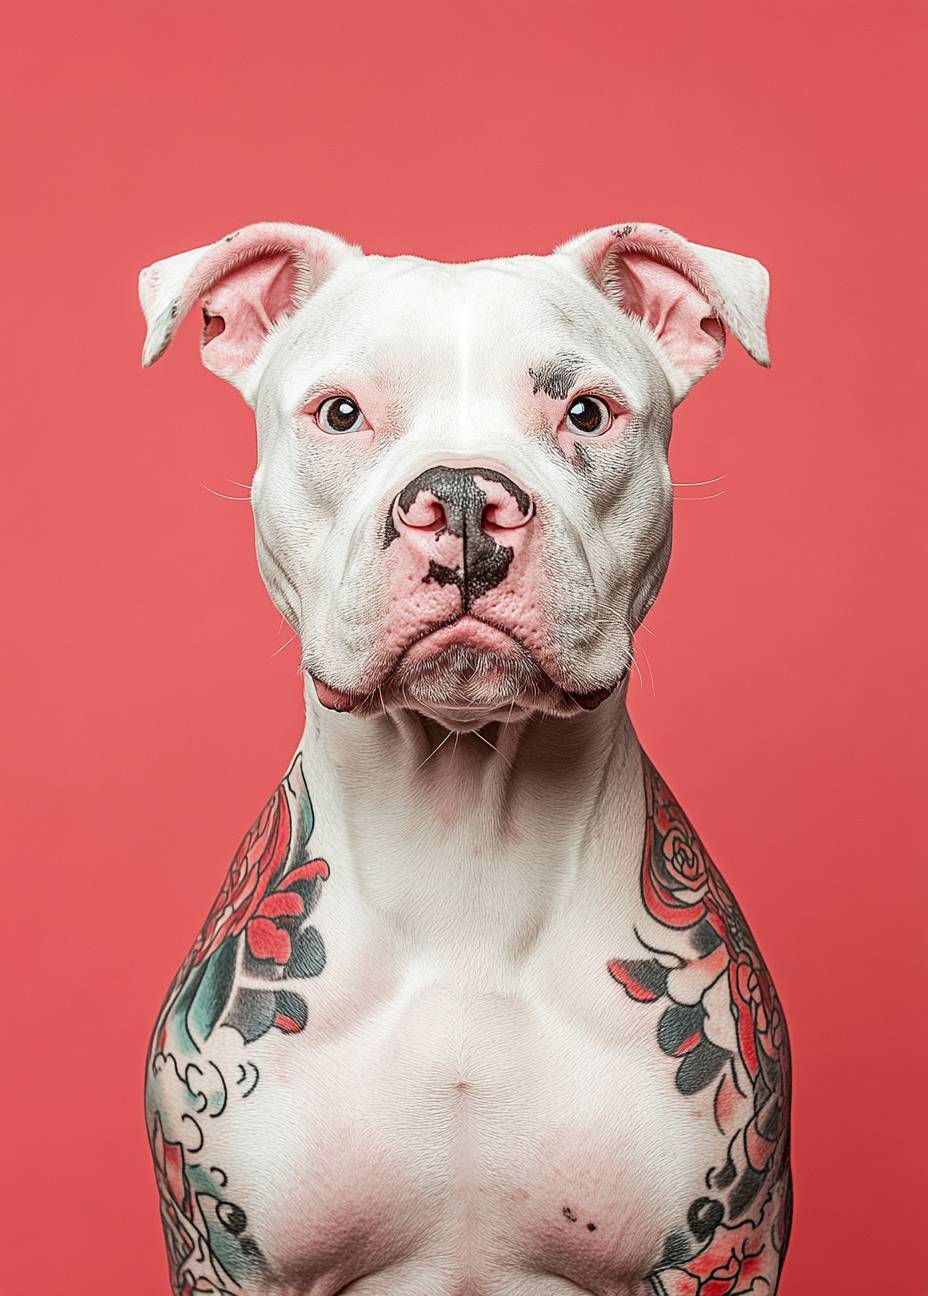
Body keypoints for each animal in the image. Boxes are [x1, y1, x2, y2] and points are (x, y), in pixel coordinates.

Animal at [139, 222, 788, 1296]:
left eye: (585, 412)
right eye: (342, 413)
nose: (463, 498)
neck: (464, 829)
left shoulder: (721, 1251)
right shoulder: (227, 1259)